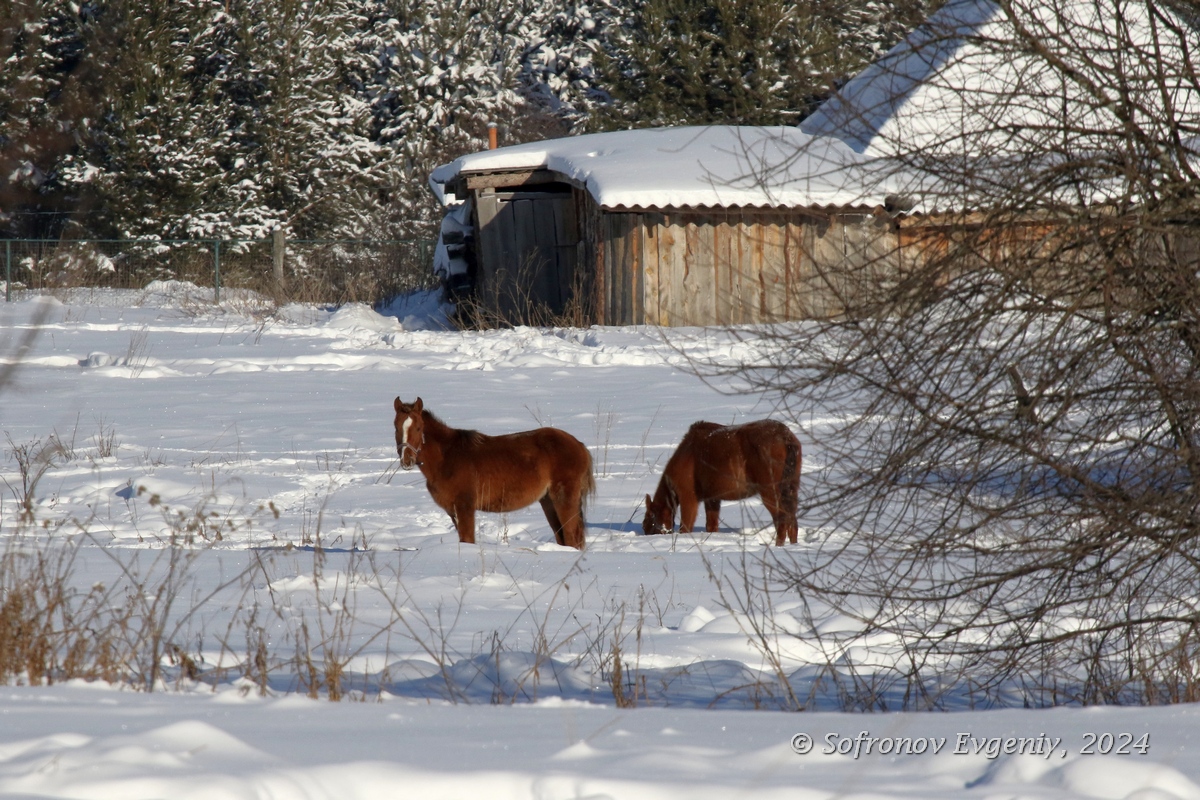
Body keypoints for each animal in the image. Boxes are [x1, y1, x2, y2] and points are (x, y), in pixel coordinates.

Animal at [393, 395, 595, 551]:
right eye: (396, 426)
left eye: (419, 428)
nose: (407, 460)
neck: (448, 457)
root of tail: (579, 445)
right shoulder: (453, 511)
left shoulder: (465, 507)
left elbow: (467, 539)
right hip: (548, 501)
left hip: (564, 498)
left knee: (571, 536)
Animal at [643, 419, 801, 544]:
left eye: (648, 524)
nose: (647, 536)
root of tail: (786, 437)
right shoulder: (712, 499)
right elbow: (711, 526)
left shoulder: (688, 497)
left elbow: (685, 527)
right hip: (791, 488)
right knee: (792, 521)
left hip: (770, 491)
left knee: (781, 520)